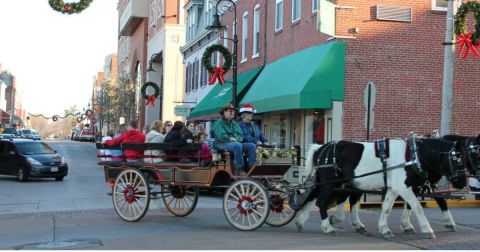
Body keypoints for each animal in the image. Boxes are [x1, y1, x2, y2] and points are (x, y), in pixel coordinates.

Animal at [294, 138, 466, 238]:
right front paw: (427, 229)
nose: (463, 182)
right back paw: (327, 227)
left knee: (313, 197)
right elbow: (417, 206)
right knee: (321, 202)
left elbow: (387, 208)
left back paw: (302, 221)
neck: (413, 156)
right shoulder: (403, 187)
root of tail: (321, 147)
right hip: (330, 182)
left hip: (331, 182)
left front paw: (385, 228)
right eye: (456, 160)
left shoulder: (395, 188)